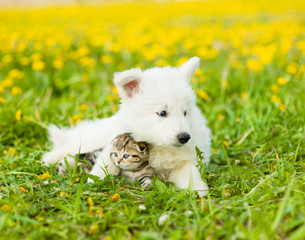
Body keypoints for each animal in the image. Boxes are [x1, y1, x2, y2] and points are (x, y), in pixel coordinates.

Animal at [41, 57, 210, 195]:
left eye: (185, 112)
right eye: (162, 113)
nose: (184, 137)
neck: (155, 145)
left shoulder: (183, 160)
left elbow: (190, 174)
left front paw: (199, 191)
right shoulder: (114, 145)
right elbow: (104, 165)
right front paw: (94, 182)